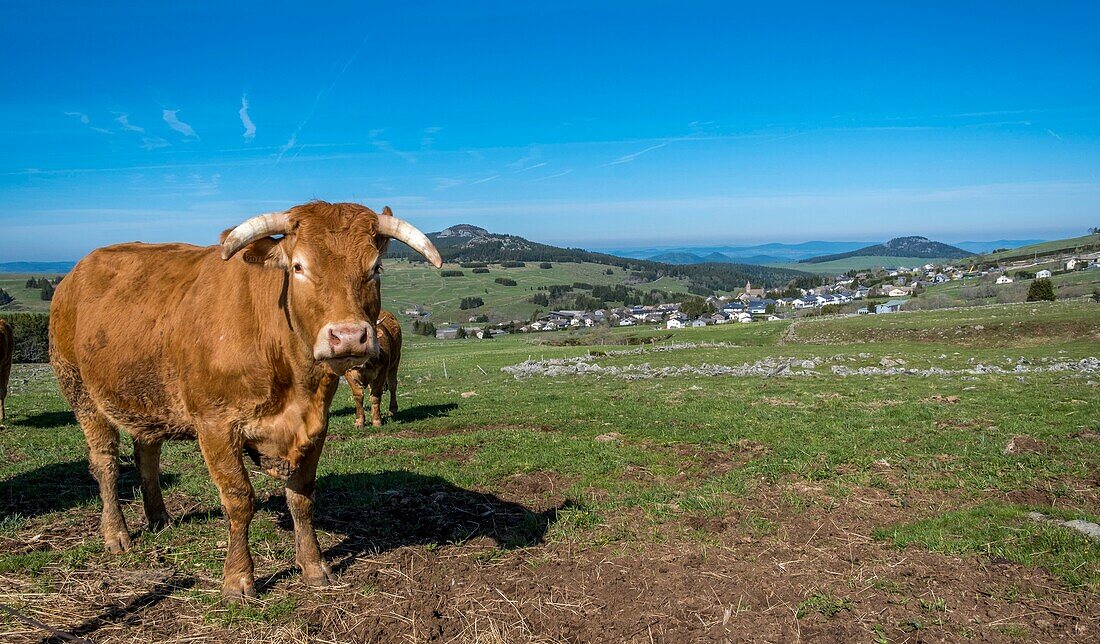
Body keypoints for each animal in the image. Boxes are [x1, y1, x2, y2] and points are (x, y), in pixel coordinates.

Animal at [46, 202, 442, 603]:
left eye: (375, 268)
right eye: (298, 266)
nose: (348, 336)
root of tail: (76, 273)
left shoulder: (317, 424)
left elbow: (302, 498)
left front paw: (314, 565)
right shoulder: (215, 426)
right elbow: (239, 500)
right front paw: (238, 579)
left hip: (148, 397)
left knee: (147, 455)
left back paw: (159, 517)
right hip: (81, 391)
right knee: (106, 464)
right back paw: (116, 533)